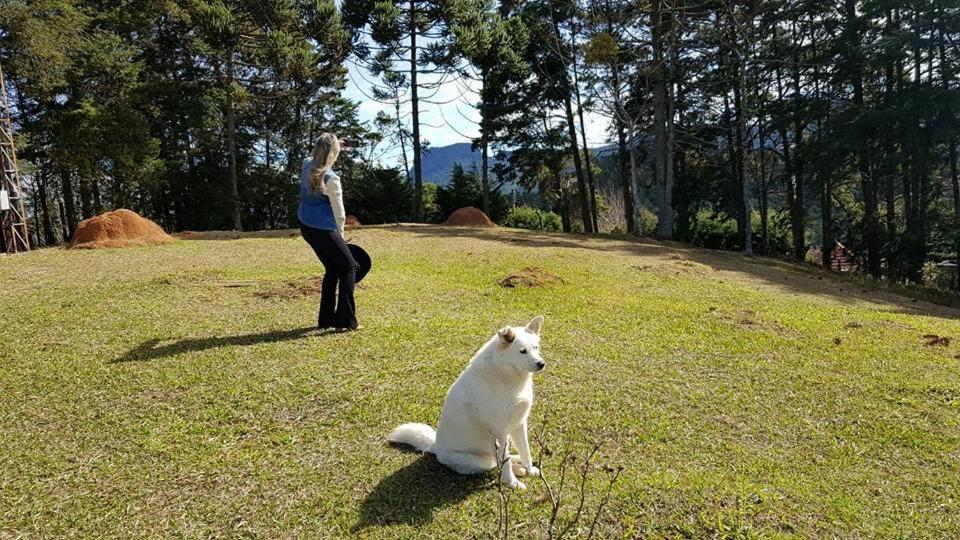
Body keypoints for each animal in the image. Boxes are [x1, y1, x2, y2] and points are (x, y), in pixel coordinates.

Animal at [386, 316, 544, 490]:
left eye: (536, 348)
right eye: (523, 351)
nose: (541, 364)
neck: (506, 375)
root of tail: (435, 447)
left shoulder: (519, 423)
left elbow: (525, 451)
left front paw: (530, 469)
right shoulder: (499, 432)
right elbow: (505, 463)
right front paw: (513, 483)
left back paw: (519, 462)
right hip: (481, 459)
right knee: (495, 463)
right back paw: (517, 469)